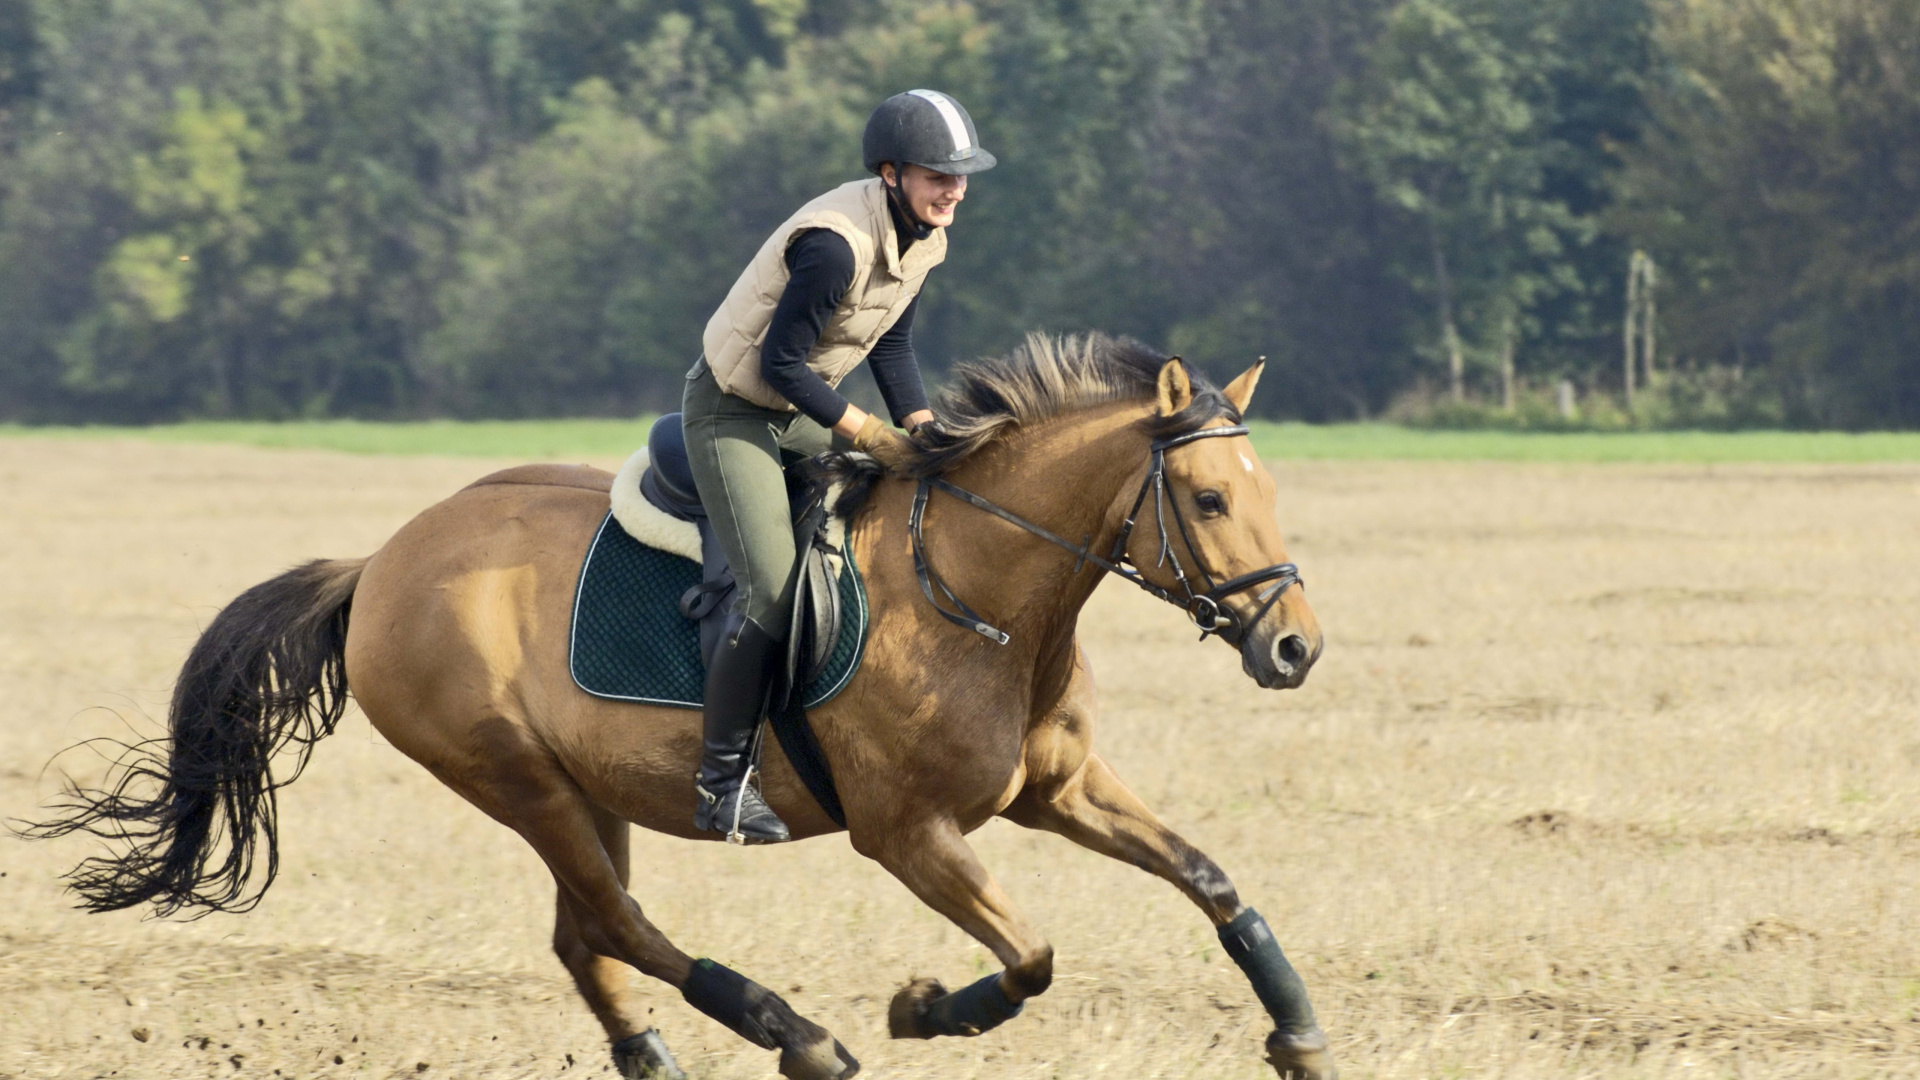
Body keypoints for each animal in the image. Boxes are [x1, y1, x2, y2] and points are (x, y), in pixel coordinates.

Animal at [31, 333, 1333, 1080]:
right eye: (1209, 498)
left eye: (1267, 487)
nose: (1295, 646)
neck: (983, 591)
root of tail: (381, 564)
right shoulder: (907, 833)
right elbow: (1033, 956)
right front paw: (920, 1011)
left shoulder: (1059, 790)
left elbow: (1215, 883)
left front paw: (1299, 1035)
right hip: (518, 780)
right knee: (621, 926)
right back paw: (799, 1037)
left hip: (580, 789)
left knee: (586, 938)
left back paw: (669, 1055)